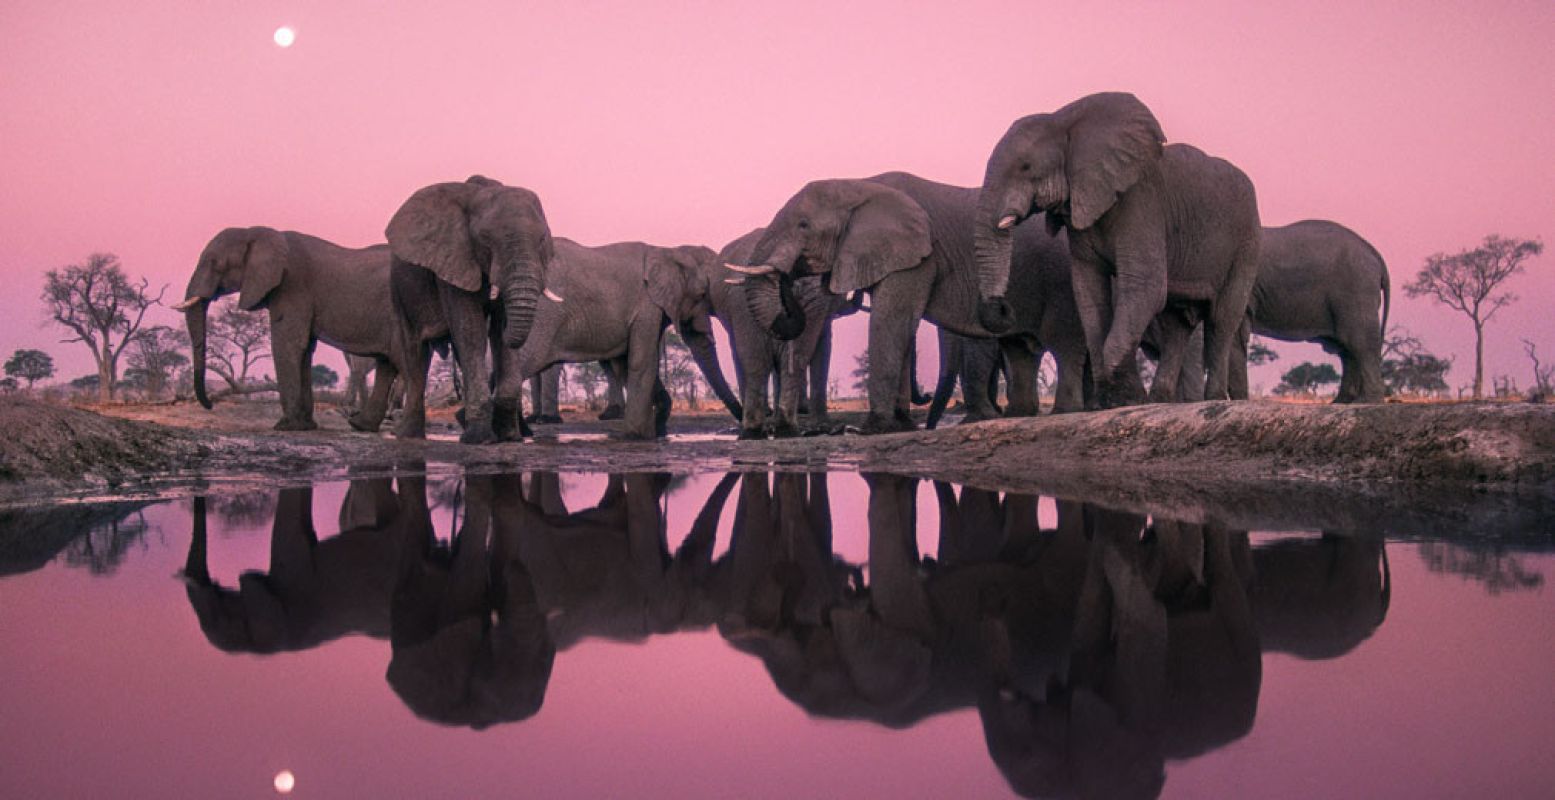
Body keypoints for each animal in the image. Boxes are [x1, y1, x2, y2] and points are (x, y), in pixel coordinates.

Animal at [172, 227, 401, 429]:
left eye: (215, 263)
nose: (210, 404)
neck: (257, 232)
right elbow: (305, 349)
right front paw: (306, 426)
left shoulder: (292, 286)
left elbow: (287, 344)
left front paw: (286, 426)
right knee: (387, 364)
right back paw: (360, 425)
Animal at [385, 173, 556, 442]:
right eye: (485, 240)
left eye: (542, 240)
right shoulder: (452, 261)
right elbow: (471, 331)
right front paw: (479, 439)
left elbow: (495, 336)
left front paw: (509, 437)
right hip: (400, 290)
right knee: (416, 352)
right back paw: (408, 435)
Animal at [730, 171, 1094, 432]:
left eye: (803, 225)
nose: (788, 279)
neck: (860, 184)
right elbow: (899, 326)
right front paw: (900, 424)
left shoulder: (918, 256)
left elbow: (891, 321)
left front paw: (870, 429)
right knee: (1020, 348)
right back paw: (1021, 414)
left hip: (1062, 280)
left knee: (1064, 342)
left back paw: (1066, 411)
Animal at [970, 91, 1262, 404]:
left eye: (1025, 167)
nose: (1003, 307)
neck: (1065, 122)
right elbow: (1089, 291)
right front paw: (1114, 400)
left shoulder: (1141, 204)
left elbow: (1144, 287)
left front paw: (1127, 398)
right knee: (1176, 324)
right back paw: (1160, 399)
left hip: (1246, 241)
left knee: (1222, 318)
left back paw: (1213, 398)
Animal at [1231, 219, 1393, 401]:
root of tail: (1374, 253)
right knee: (1347, 348)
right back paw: (1343, 402)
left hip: (1356, 288)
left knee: (1360, 342)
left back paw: (1365, 401)